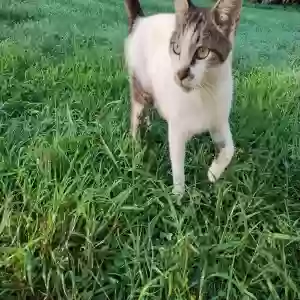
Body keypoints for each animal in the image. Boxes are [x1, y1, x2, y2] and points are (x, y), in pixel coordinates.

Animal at [123, 0, 241, 196]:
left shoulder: (219, 119)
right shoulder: (177, 130)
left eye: (203, 51)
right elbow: (178, 169)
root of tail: (141, 20)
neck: (204, 92)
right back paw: (136, 146)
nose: (180, 73)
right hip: (141, 87)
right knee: (136, 116)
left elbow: (230, 148)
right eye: (177, 48)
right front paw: (178, 197)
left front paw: (213, 173)